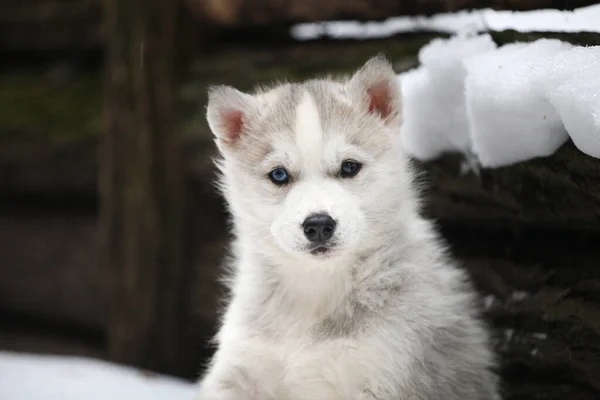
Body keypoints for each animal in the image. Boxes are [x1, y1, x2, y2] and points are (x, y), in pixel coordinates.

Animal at [198, 55, 502, 400]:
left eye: (349, 167)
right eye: (278, 175)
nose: (318, 225)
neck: (314, 292)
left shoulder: (377, 376)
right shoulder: (239, 373)